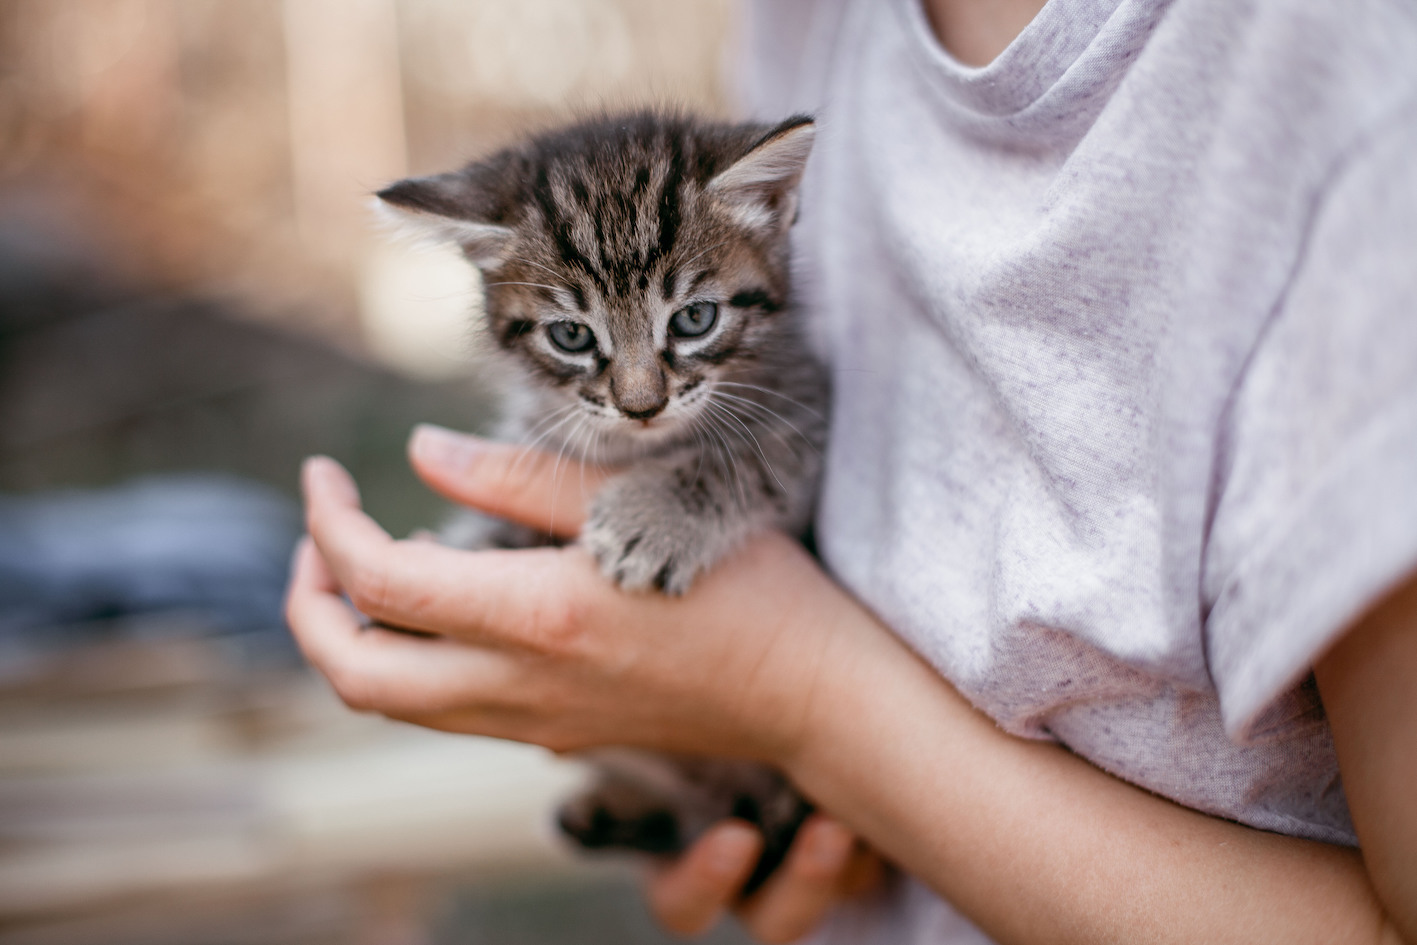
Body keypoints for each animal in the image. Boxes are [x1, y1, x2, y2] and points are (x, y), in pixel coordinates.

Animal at [376, 112, 827, 895]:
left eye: (695, 319)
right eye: (571, 335)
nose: (641, 405)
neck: (633, 449)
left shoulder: (809, 413)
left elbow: (744, 459)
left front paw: (653, 521)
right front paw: (464, 551)